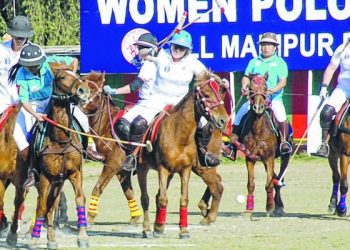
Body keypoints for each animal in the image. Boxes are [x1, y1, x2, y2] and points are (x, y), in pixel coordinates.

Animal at [5, 62, 90, 248]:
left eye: (77, 74)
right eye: (62, 77)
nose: (84, 90)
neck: (61, 140)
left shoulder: (75, 173)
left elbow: (80, 199)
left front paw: (83, 237)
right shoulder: (45, 176)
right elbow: (41, 206)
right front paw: (34, 240)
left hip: (58, 182)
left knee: (51, 205)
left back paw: (51, 239)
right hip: (23, 176)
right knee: (20, 201)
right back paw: (12, 236)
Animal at [80, 72, 224, 227]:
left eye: (91, 89)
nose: (76, 104)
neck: (108, 124)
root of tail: (214, 128)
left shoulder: (112, 164)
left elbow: (97, 188)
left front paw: (90, 217)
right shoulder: (122, 169)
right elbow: (128, 192)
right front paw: (135, 217)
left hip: (202, 167)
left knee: (217, 187)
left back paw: (209, 216)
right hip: (197, 167)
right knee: (217, 181)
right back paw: (204, 208)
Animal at [135, 70, 228, 238]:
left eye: (220, 92)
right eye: (206, 94)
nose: (224, 120)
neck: (180, 134)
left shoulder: (185, 169)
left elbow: (183, 199)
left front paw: (183, 230)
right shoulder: (163, 169)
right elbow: (163, 199)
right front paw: (158, 228)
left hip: (197, 168)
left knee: (216, 185)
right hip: (143, 168)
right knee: (145, 198)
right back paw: (148, 228)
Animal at [239, 73, 292, 216]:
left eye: (265, 87)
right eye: (250, 87)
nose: (258, 108)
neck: (258, 128)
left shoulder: (269, 157)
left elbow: (268, 184)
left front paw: (269, 207)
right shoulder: (250, 158)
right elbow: (250, 184)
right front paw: (248, 209)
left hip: (284, 155)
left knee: (278, 179)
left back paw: (278, 207)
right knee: (275, 178)